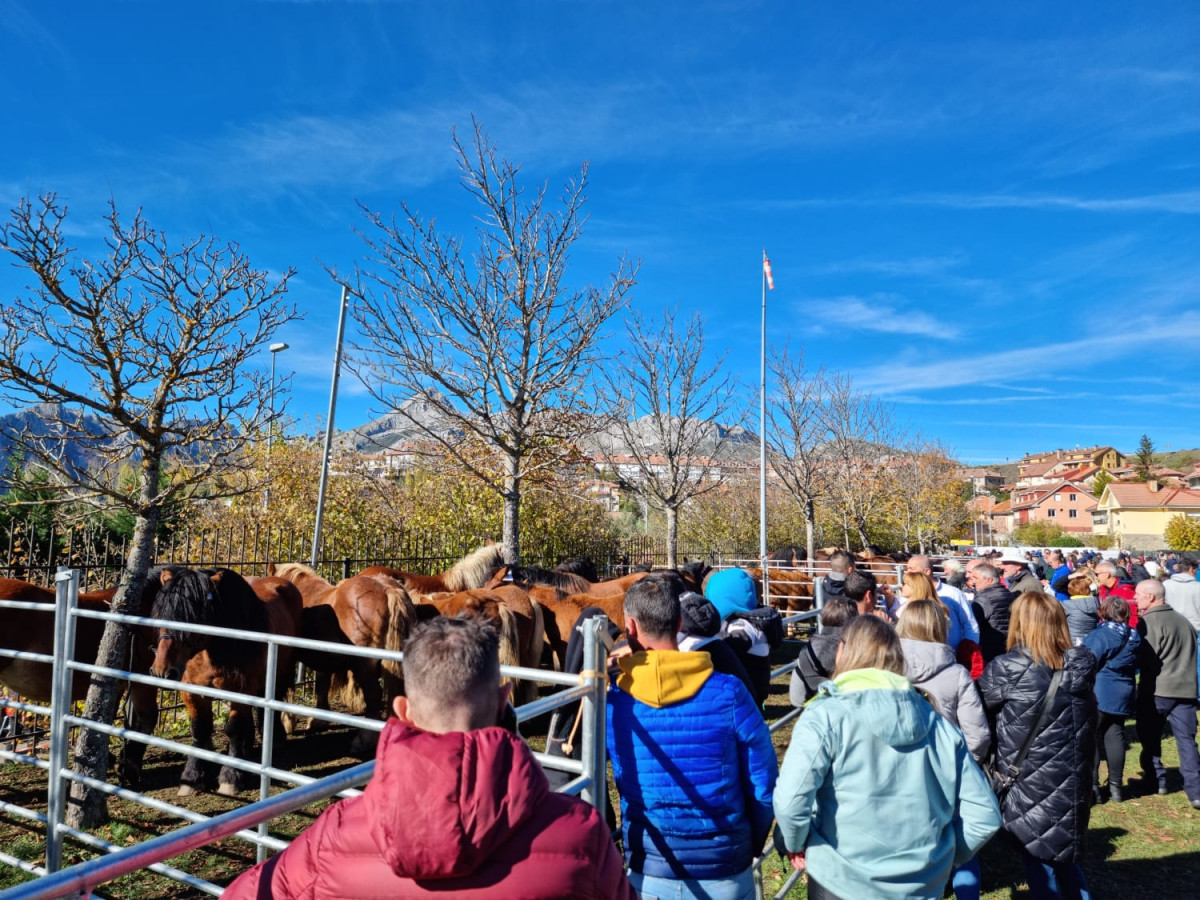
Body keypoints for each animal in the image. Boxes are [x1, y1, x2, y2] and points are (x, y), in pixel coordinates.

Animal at [149, 571, 302, 796]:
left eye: (195, 617)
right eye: (160, 614)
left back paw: (274, 740)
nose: (162, 671)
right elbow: (200, 729)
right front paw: (192, 777)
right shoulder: (193, 691)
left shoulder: (242, 689)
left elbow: (233, 729)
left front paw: (231, 777)